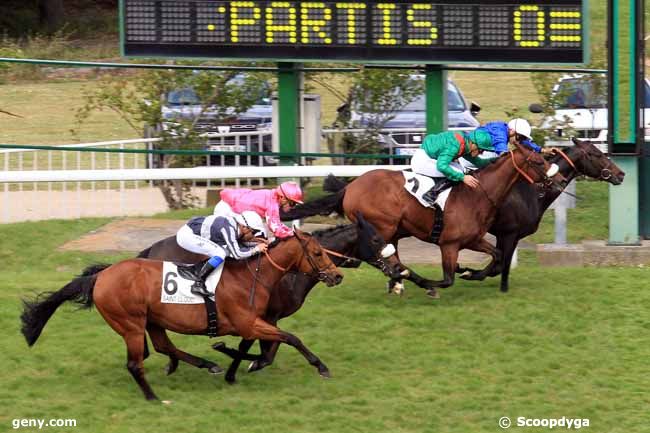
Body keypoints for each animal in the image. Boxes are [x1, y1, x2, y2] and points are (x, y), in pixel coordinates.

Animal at [19, 230, 342, 402]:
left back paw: (206, 364)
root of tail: (101, 275)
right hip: (131, 324)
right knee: (135, 363)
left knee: (163, 347)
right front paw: (322, 366)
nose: (337, 275)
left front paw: (229, 360)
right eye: (317, 252)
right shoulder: (250, 322)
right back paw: (153, 397)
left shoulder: (255, 323)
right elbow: (290, 338)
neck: (252, 276)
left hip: (151, 321)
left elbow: (260, 348)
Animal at [139, 213, 402, 382]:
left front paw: (239, 364)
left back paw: (171, 363)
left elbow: (266, 350)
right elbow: (260, 349)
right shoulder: (264, 316)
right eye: (376, 239)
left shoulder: (266, 318)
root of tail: (149, 251)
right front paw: (237, 365)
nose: (398, 268)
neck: (289, 273)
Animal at [280, 143, 560, 298]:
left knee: (390, 259)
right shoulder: (449, 244)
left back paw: (398, 282)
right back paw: (401, 279)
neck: (477, 193)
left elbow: (499, 256)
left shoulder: (473, 239)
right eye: (538, 161)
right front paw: (434, 283)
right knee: (379, 258)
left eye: (545, 158)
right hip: (382, 228)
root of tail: (350, 187)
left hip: (391, 231)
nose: (557, 181)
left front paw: (471, 272)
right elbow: (447, 279)